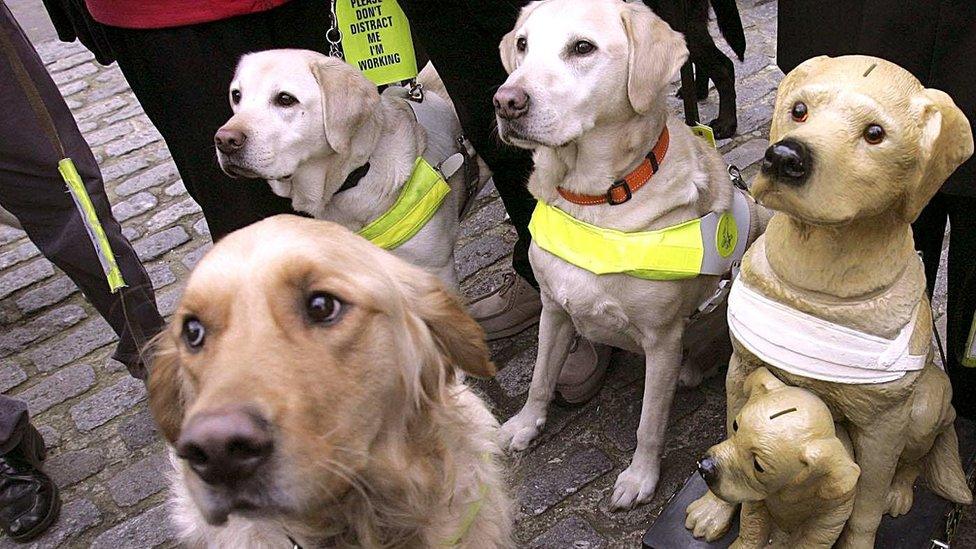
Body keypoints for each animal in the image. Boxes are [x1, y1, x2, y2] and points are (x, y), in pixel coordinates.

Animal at [696, 368, 856, 548]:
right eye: (735, 426)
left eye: (758, 466)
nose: (704, 466)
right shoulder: (754, 496)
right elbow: (751, 526)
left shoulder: (831, 518)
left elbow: (811, 541)